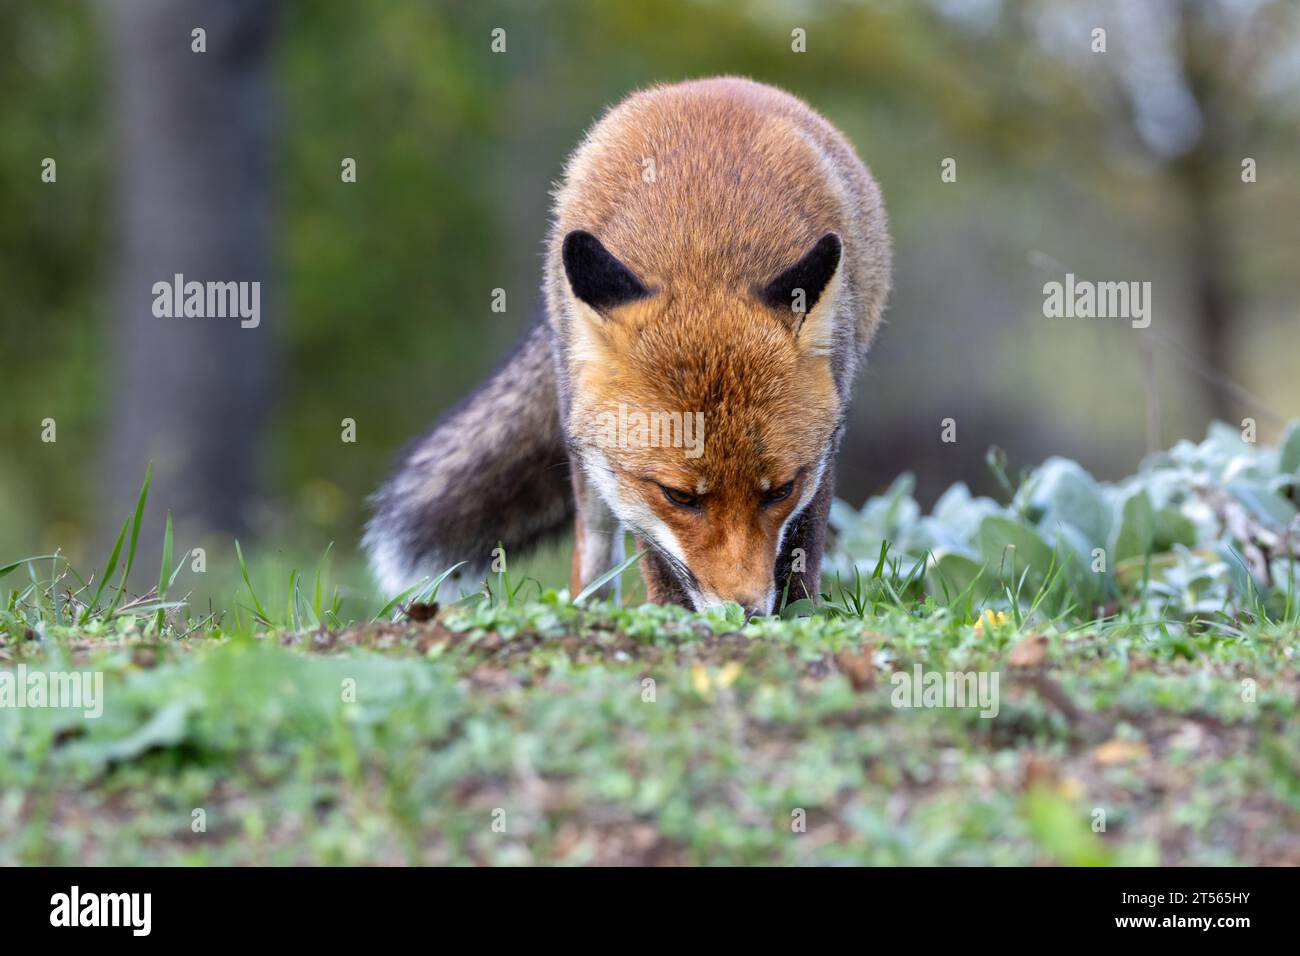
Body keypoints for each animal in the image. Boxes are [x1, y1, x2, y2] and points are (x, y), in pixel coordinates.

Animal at [365, 77, 891, 616]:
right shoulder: (636, 493)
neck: (704, 251)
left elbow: (803, 555)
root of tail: (710, 83)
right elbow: (659, 562)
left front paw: (793, 618)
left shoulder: (822, 455)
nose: (743, 612)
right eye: (679, 497)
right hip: (585, 451)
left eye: (780, 490)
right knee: (593, 549)